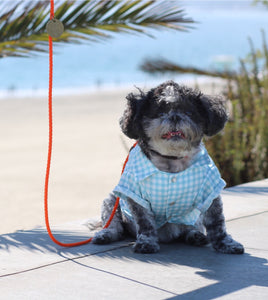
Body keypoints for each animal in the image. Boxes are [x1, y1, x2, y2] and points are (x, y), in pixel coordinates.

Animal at [92, 81, 245, 254]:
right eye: (159, 112)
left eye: (188, 112)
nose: (175, 116)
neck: (172, 160)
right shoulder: (135, 196)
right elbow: (145, 222)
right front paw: (146, 242)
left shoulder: (210, 191)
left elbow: (217, 222)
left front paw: (226, 243)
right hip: (112, 202)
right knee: (113, 225)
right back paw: (105, 234)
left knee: (193, 227)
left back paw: (195, 235)